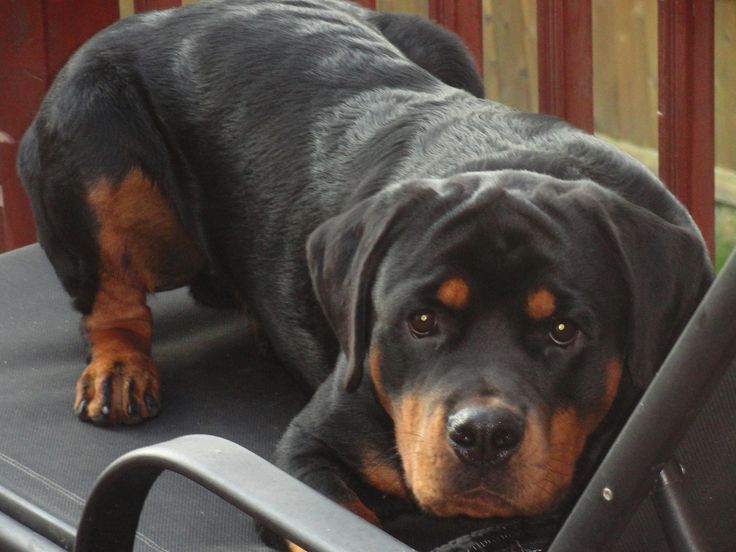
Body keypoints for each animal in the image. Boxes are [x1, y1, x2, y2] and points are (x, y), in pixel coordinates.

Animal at [20, 0, 716, 540]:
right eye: (421, 321)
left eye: (564, 332)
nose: (483, 435)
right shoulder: (307, 451)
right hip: (92, 123)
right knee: (111, 294)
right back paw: (119, 371)